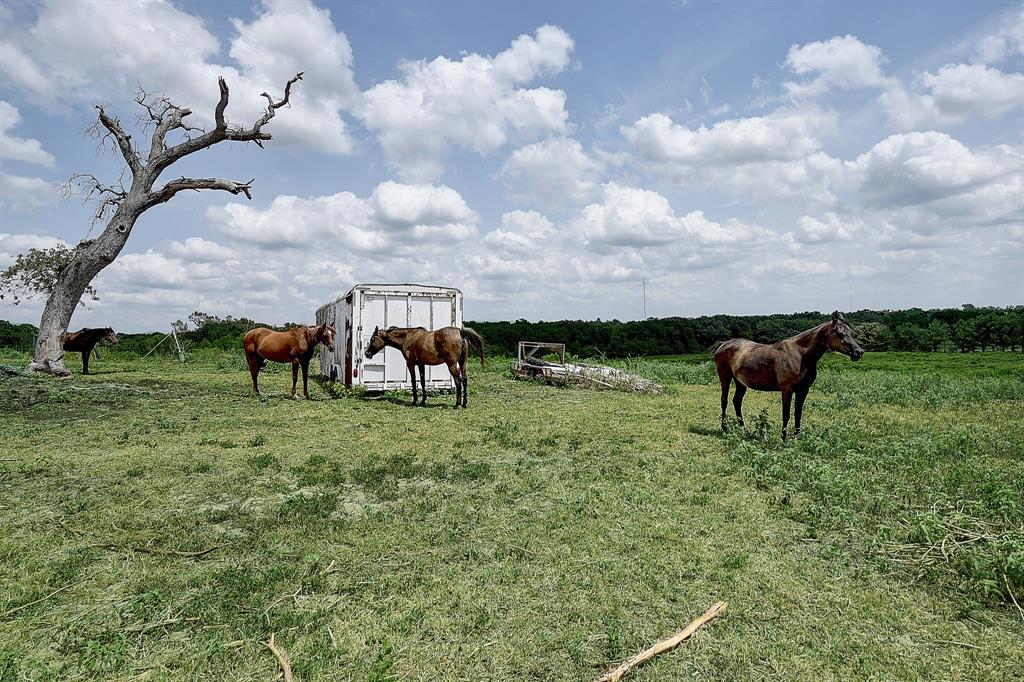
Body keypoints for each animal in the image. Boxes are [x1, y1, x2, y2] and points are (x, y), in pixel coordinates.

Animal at [712, 309, 864, 440]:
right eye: (840, 334)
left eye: (852, 333)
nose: (859, 352)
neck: (801, 355)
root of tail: (723, 344)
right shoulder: (787, 389)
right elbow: (786, 414)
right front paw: (784, 439)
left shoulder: (803, 390)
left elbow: (798, 414)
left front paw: (797, 438)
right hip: (725, 378)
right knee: (724, 400)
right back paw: (725, 428)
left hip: (740, 383)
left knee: (737, 401)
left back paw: (743, 430)